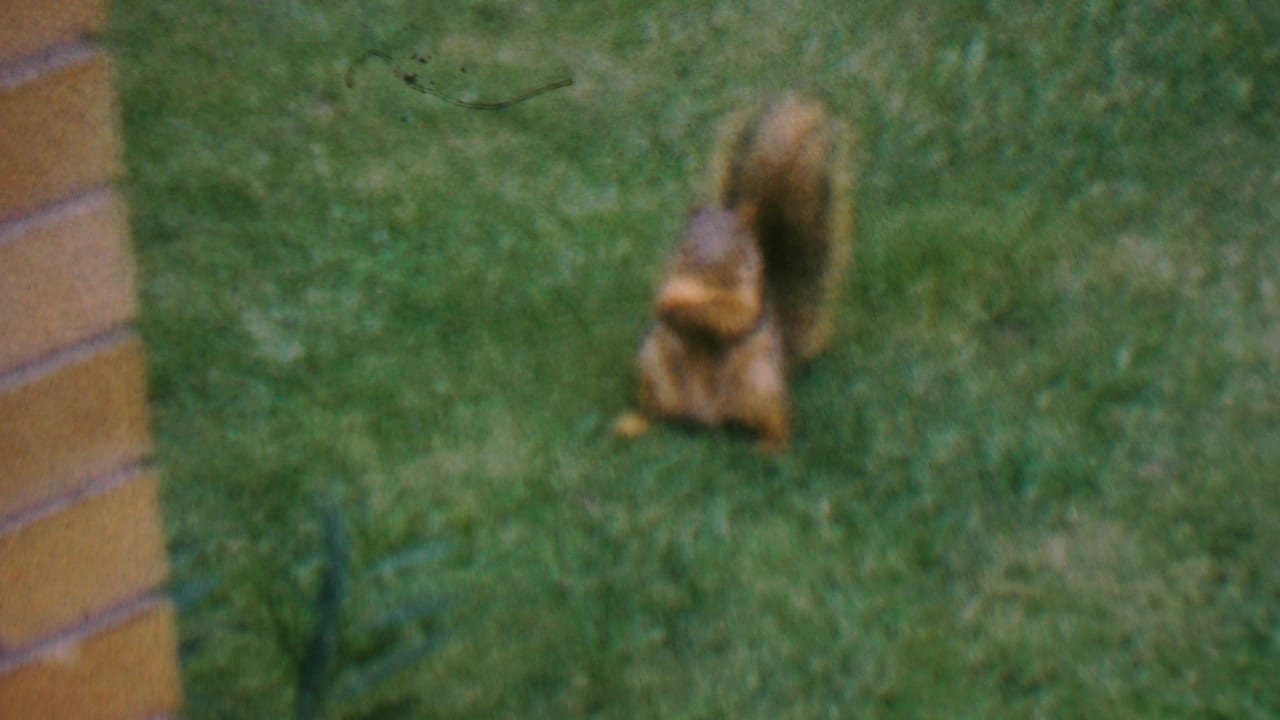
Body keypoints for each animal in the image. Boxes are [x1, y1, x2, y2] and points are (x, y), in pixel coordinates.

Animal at [614, 93, 853, 450]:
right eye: (685, 244)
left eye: (740, 249)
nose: (707, 271)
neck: (706, 288)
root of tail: (707, 417)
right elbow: (666, 306)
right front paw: (669, 303)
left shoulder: (749, 298)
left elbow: (732, 317)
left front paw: (696, 307)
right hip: (655, 373)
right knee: (659, 416)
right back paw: (634, 424)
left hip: (757, 386)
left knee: (778, 419)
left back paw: (772, 445)